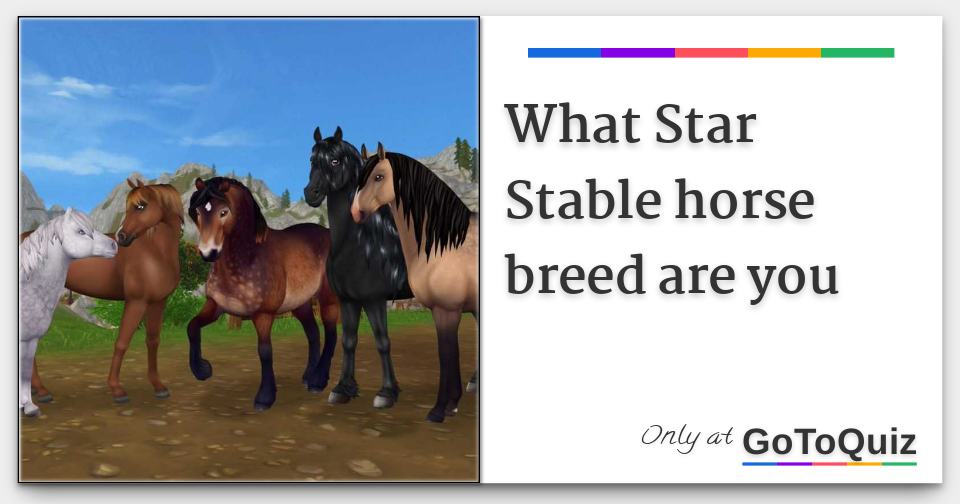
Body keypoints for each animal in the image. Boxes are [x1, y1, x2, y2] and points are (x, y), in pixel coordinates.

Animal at [29, 180, 183, 404]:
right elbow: (122, 343)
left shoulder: (158, 302)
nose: (122, 237)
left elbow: (153, 341)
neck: (155, 252)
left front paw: (158, 386)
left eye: (141, 206)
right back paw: (41, 391)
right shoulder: (136, 301)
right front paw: (117, 389)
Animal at [186, 177, 339, 411]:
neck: (248, 257)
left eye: (224, 212)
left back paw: (318, 381)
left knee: (331, 335)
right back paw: (308, 376)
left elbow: (265, 352)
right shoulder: (215, 305)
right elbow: (192, 327)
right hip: (301, 305)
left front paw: (265, 398)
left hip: (328, 300)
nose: (208, 253)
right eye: (198, 212)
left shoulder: (263, 315)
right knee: (313, 334)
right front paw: (202, 370)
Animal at [303, 126, 413, 409]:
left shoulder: (374, 299)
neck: (361, 242)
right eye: (312, 160)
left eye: (334, 161)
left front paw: (387, 392)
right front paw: (343, 388)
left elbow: (382, 341)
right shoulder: (348, 300)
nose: (311, 193)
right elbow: (349, 341)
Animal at [352, 143, 479, 423]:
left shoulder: (447, 310)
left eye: (378, 177)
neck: (445, 243)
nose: (355, 212)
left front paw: (440, 409)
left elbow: (446, 353)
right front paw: (451, 405)